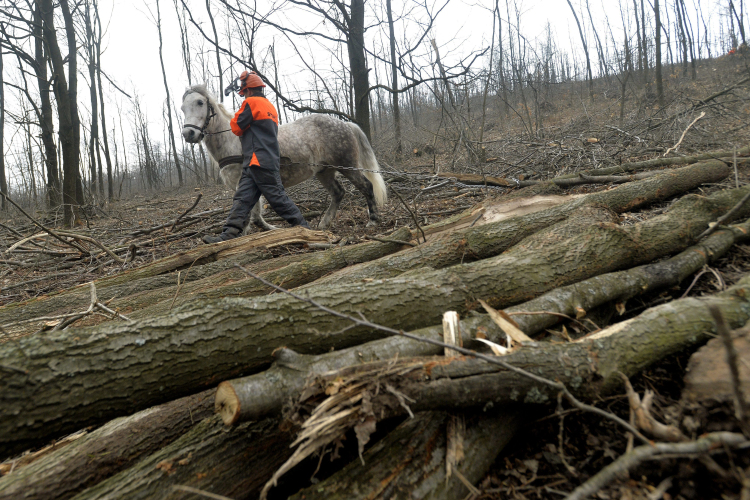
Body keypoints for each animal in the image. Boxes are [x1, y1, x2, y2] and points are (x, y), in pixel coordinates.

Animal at [179, 84, 384, 230]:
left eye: (200, 103)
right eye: (182, 108)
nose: (188, 134)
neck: (231, 141)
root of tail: (346, 124)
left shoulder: (242, 182)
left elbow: (249, 215)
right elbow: (254, 216)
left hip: (347, 166)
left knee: (367, 186)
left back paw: (373, 220)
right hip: (324, 172)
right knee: (338, 193)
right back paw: (324, 223)